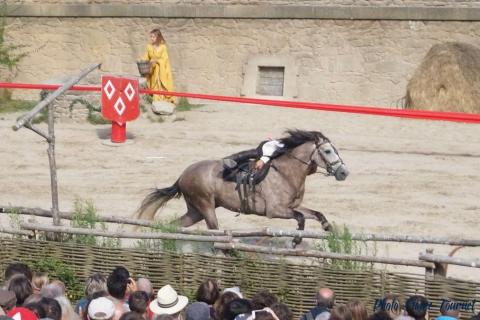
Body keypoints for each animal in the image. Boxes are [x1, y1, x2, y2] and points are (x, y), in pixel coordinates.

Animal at [135, 130, 348, 245]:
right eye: (327, 151)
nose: (344, 173)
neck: (287, 173)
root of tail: (182, 176)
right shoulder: (275, 211)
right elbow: (301, 218)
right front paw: (296, 240)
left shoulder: (292, 206)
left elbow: (315, 214)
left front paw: (327, 227)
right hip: (205, 206)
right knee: (213, 232)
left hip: (195, 211)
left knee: (175, 225)